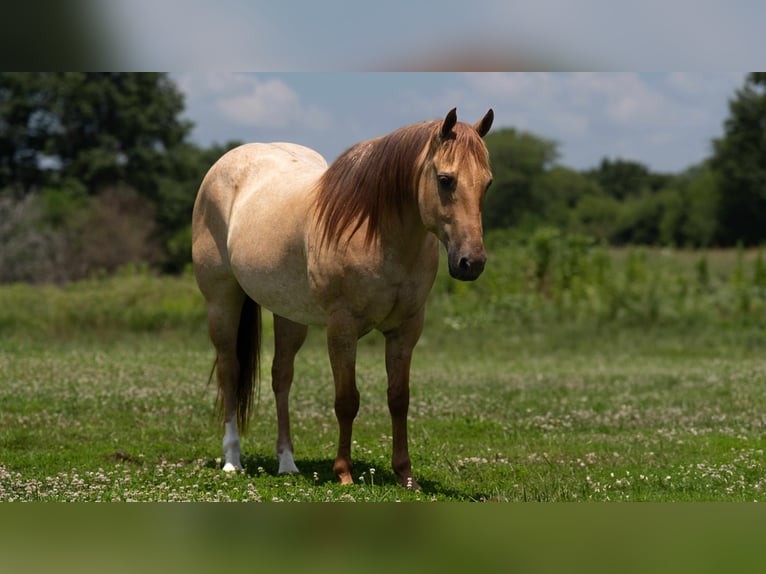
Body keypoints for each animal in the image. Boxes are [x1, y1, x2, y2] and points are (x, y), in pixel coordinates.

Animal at [192, 107, 494, 488]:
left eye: (487, 183)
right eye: (445, 179)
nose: (471, 263)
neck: (376, 231)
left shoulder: (405, 330)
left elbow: (399, 398)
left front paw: (405, 474)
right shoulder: (342, 328)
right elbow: (347, 400)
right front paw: (344, 472)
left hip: (289, 314)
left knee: (281, 377)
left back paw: (287, 462)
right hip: (222, 302)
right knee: (230, 370)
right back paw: (233, 459)